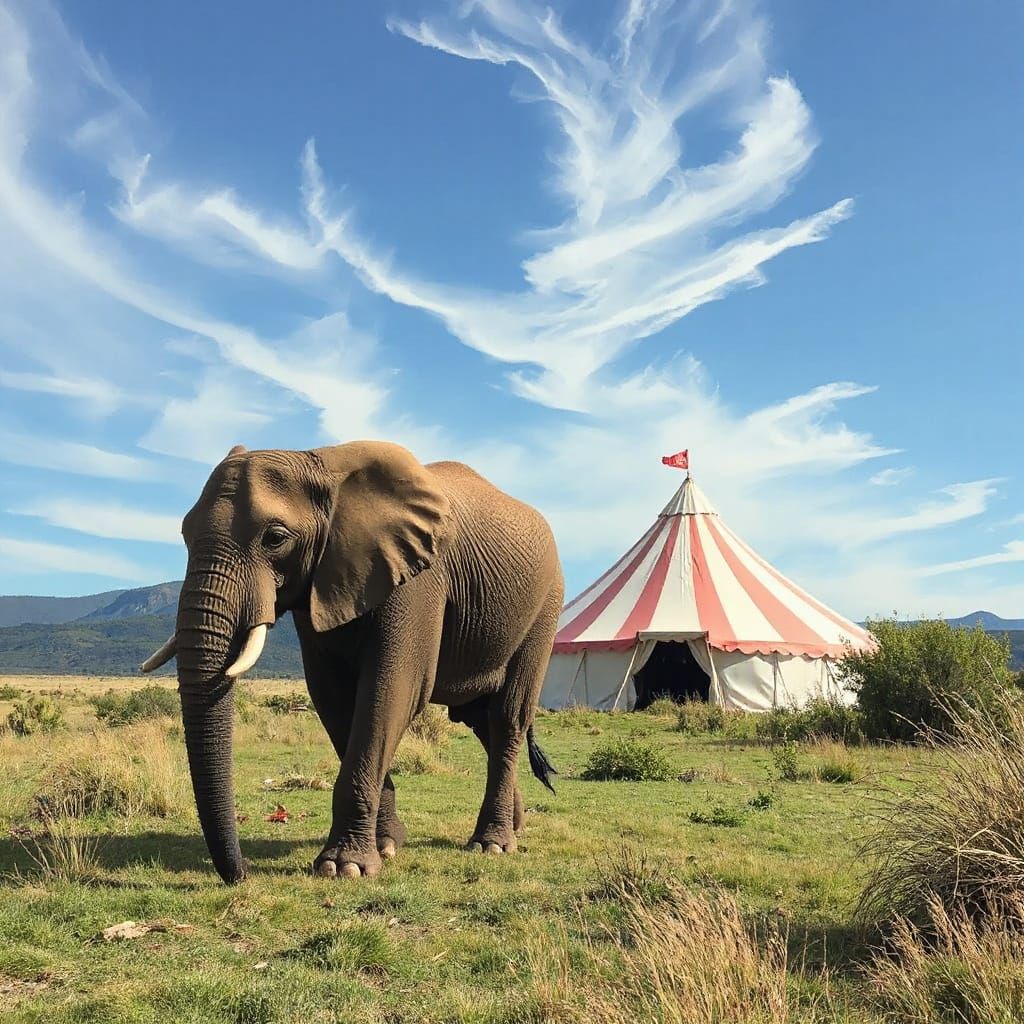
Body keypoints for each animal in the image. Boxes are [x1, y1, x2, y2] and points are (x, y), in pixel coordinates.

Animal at [141, 440, 564, 884]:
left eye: (275, 538)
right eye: (185, 535)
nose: (241, 874)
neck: (322, 463)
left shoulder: (418, 578)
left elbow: (393, 692)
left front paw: (343, 868)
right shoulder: (321, 582)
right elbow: (332, 696)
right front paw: (387, 845)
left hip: (545, 607)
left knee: (506, 717)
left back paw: (492, 845)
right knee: (478, 720)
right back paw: (513, 827)